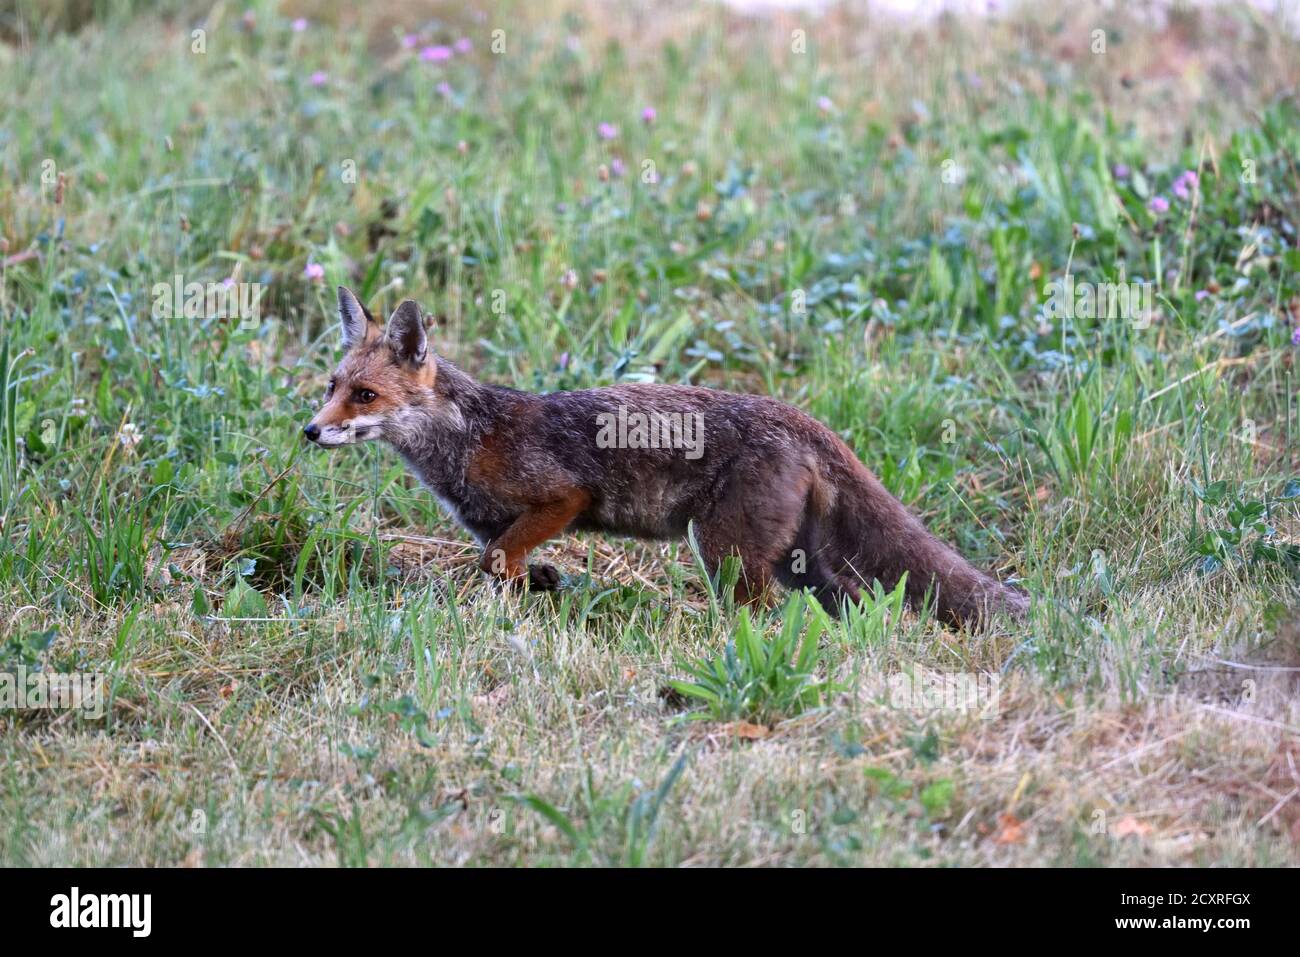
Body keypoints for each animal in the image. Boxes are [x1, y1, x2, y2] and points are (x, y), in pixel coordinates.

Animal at [304, 286, 1028, 628]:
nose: (310, 430)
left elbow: (497, 559)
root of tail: (798, 416)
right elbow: (501, 565)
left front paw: (538, 585)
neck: (467, 438)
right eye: (331, 386)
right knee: (857, 601)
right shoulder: (495, 527)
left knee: (762, 610)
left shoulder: (561, 498)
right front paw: (543, 584)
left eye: (365, 395)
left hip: (727, 553)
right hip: (797, 562)